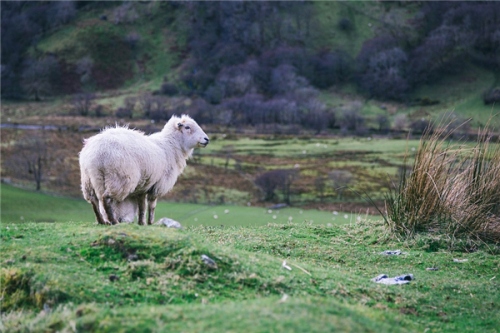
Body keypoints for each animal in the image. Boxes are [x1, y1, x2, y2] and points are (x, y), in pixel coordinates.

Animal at [79, 114, 208, 226]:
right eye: (187, 127)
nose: (206, 139)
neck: (171, 146)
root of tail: (96, 153)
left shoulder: (143, 185)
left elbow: (142, 205)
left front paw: (142, 223)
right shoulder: (158, 184)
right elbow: (152, 205)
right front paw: (151, 222)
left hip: (89, 179)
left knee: (94, 200)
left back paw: (102, 221)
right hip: (119, 178)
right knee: (106, 198)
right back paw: (114, 221)